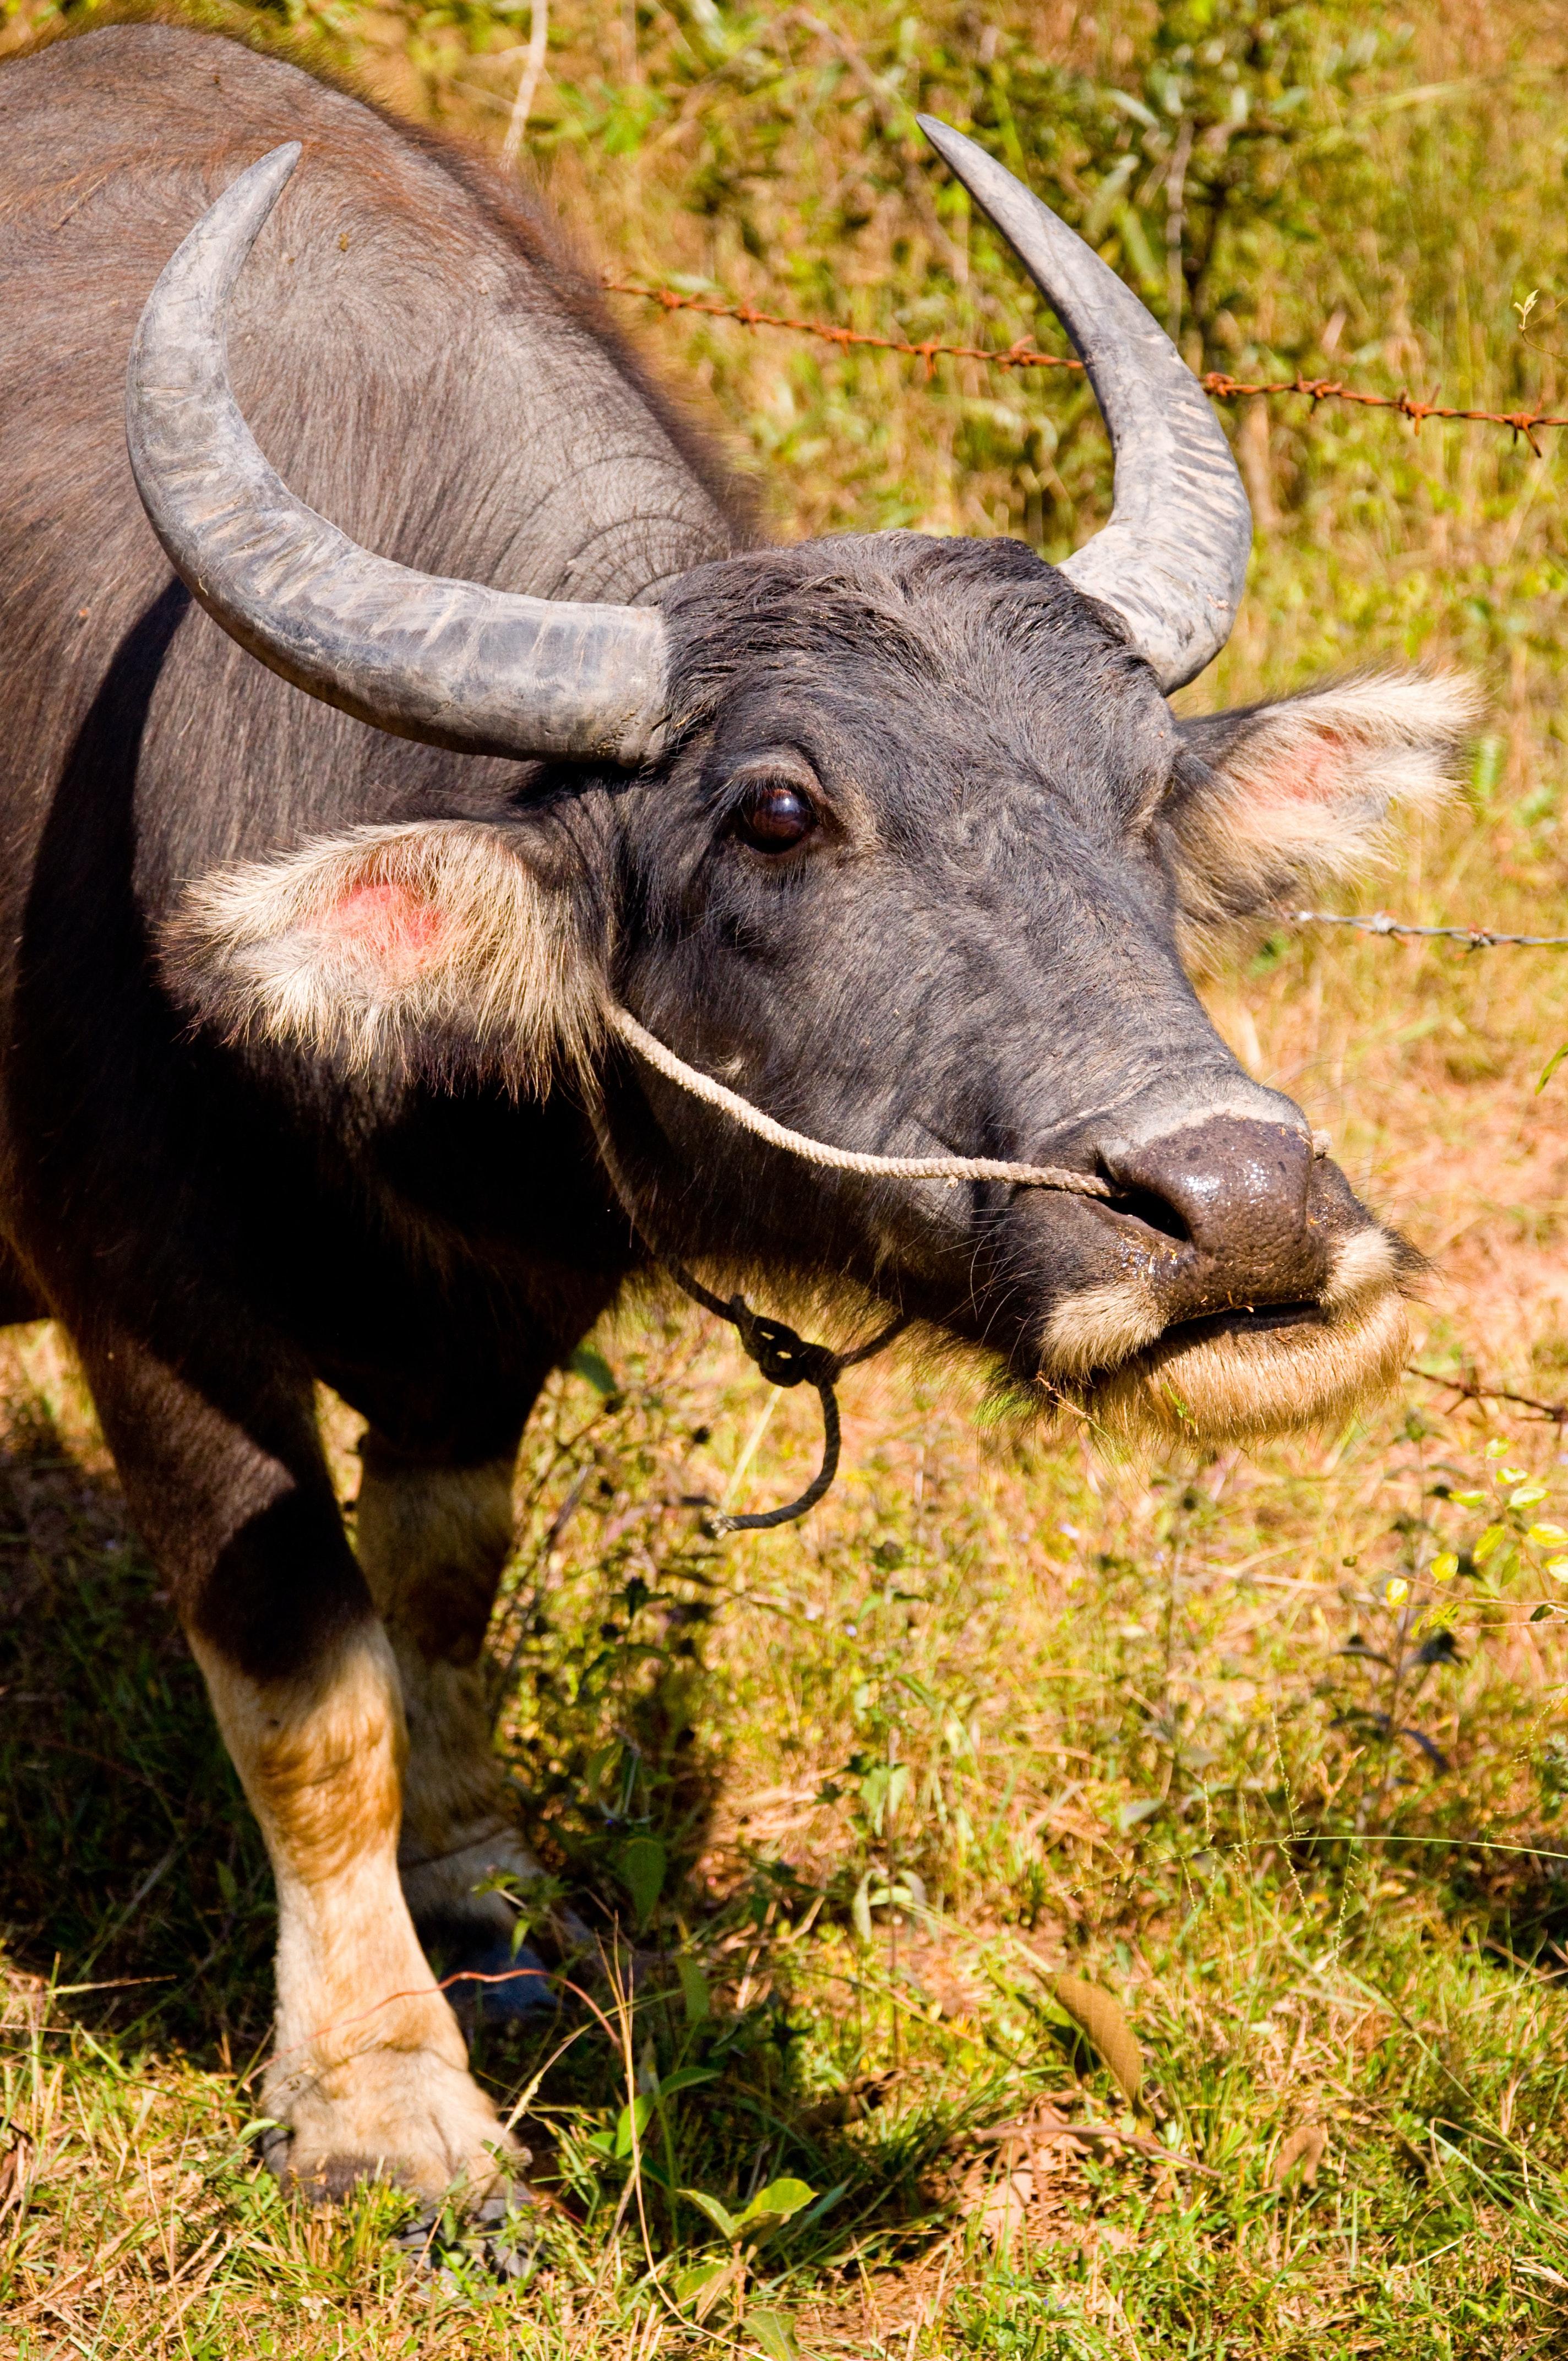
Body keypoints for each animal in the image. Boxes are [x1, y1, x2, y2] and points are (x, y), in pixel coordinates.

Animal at [0, 23, 1473, 2191]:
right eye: (778, 812)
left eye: (1137, 789)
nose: (1244, 1210)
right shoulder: (148, 1305)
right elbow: (306, 1677)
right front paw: (383, 2102)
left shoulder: (494, 1314)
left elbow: (440, 1576)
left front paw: (479, 1883)